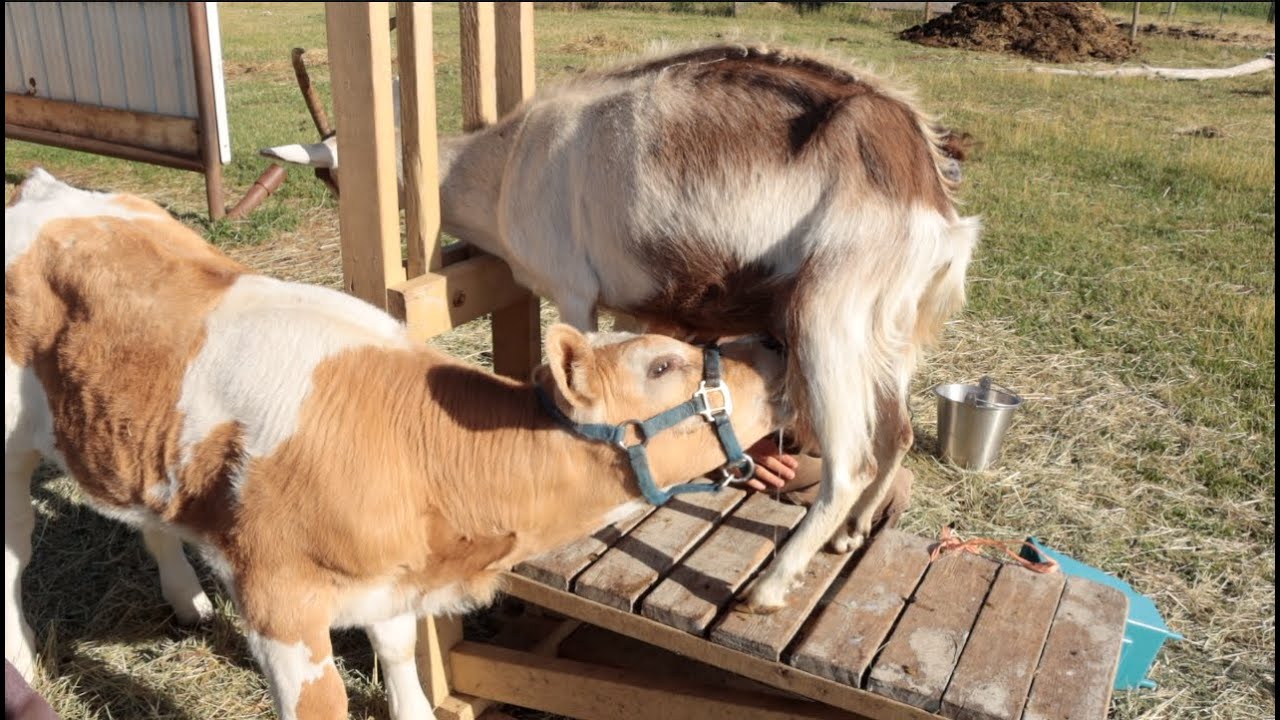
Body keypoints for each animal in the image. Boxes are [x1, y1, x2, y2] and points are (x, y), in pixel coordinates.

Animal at [4, 169, 786, 719]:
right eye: (659, 366)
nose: (774, 346)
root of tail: (44, 191)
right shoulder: (280, 602)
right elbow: (324, 703)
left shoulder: (390, 581)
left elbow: (399, 652)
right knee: (12, 556)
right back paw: (25, 667)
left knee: (146, 513)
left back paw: (187, 600)